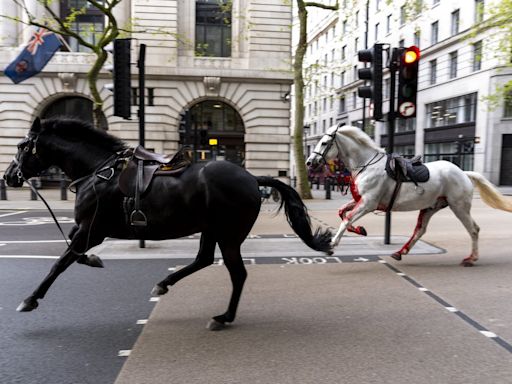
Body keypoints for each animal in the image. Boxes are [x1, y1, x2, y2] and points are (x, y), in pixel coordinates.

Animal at [4, 118, 330, 330]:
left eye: (21, 146)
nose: (9, 176)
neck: (98, 171)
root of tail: (251, 177)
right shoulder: (85, 229)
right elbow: (72, 253)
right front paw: (94, 260)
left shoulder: (91, 230)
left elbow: (60, 262)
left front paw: (30, 299)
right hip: (211, 229)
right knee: (203, 259)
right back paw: (165, 284)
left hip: (228, 234)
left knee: (237, 273)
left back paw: (223, 317)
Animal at [304, 124, 512, 266]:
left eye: (324, 143)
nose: (309, 162)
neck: (367, 165)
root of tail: (463, 173)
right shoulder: (360, 201)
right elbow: (342, 213)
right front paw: (360, 230)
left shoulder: (368, 203)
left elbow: (346, 219)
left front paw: (331, 245)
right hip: (431, 207)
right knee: (420, 230)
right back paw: (400, 252)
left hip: (459, 206)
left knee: (474, 229)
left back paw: (471, 258)